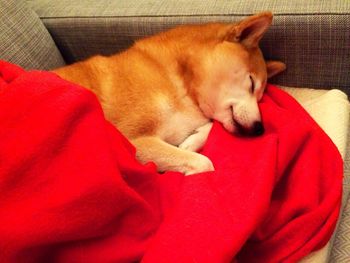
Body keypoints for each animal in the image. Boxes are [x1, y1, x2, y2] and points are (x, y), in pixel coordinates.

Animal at [53, 11, 286, 175]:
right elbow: (204, 163)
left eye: (260, 97)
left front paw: (191, 141)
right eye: (252, 83)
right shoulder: (132, 140)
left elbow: (209, 127)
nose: (259, 129)